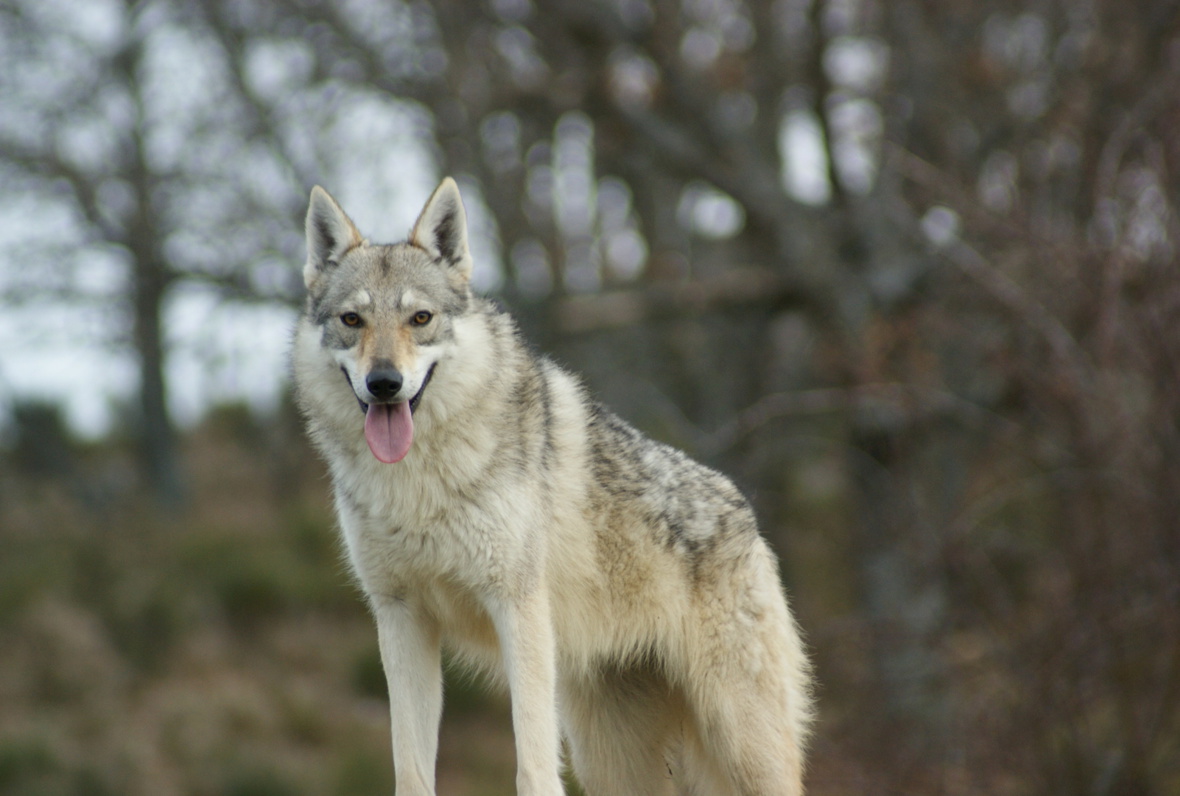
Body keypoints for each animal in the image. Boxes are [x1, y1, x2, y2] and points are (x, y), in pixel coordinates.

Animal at [291, 177, 812, 795]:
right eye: (352, 321)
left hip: (741, 745)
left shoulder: (519, 608)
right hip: (613, 761)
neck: (417, 485)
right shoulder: (400, 618)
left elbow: (533, 764)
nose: (385, 383)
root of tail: (746, 514)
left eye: (420, 318)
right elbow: (411, 770)